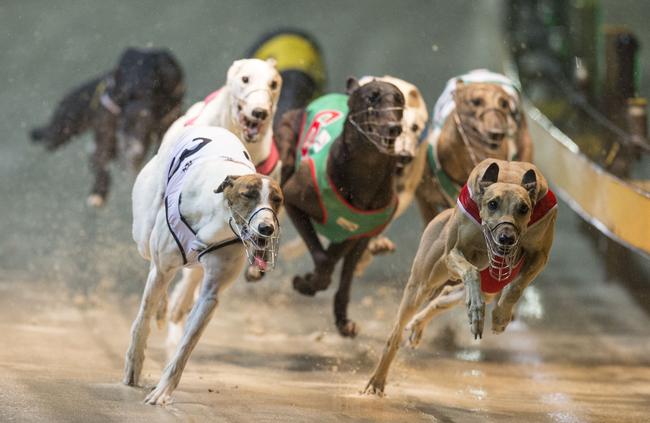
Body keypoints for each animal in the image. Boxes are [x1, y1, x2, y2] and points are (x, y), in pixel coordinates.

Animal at [124, 124, 280, 406]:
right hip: (144, 234)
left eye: (278, 200)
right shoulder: (163, 266)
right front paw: (134, 363)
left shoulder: (210, 295)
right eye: (248, 195)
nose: (266, 228)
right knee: (151, 265)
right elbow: (142, 319)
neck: (217, 220)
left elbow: (186, 345)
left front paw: (163, 391)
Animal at [276, 78, 402, 338]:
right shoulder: (293, 200)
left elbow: (341, 269)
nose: (394, 127)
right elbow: (324, 260)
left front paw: (342, 319)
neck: (366, 174)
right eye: (372, 97)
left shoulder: (362, 234)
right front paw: (307, 283)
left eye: (399, 100)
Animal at [362, 159, 556, 398]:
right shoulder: (453, 253)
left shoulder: (540, 255)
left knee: (447, 295)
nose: (507, 238)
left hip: (487, 287)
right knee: (396, 332)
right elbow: (470, 271)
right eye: (492, 204)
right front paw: (476, 310)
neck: (508, 177)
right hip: (422, 284)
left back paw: (418, 325)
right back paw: (377, 380)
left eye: (524, 208)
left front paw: (500, 317)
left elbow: (516, 287)